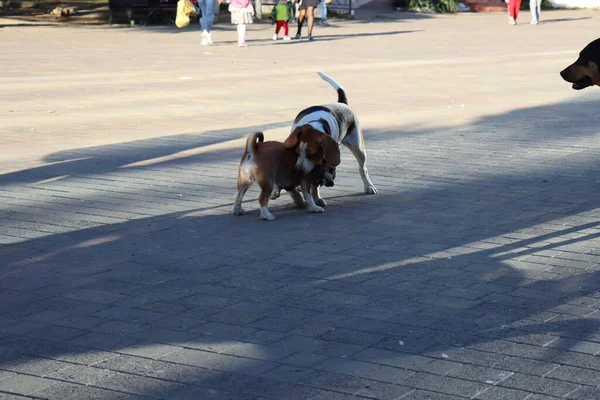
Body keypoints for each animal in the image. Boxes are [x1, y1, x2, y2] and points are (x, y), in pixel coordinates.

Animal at [290, 71, 378, 206]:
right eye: (297, 153)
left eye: (312, 155)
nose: (299, 171)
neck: (315, 125)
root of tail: (342, 103)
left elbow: (315, 184)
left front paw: (316, 198)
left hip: (359, 148)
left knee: (363, 168)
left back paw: (369, 186)